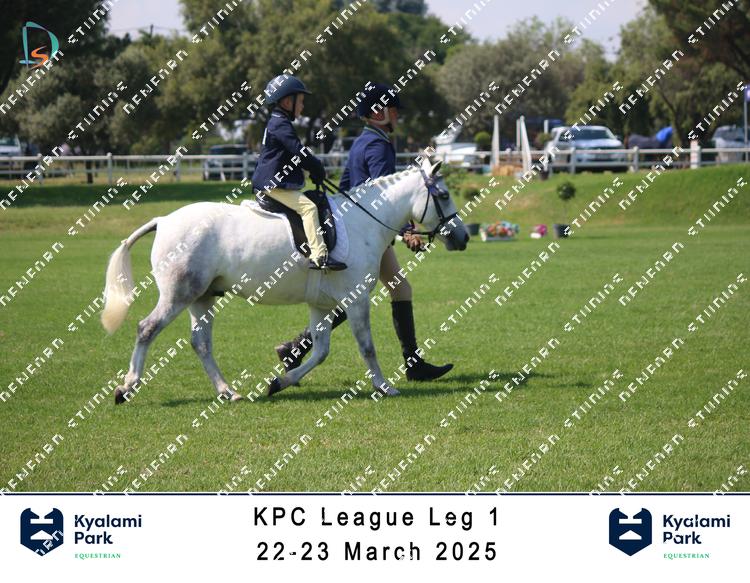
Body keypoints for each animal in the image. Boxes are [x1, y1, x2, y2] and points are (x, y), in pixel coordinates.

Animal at [100, 157, 469, 404]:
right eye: (444, 195)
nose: (463, 237)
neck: (363, 222)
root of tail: (164, 219)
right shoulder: (356, 300)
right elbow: (367, 346)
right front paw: (384, 386)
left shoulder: (321, 305)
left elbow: (320, 350)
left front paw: (280, 382)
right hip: (178, 294)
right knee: (147, 329)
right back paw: (126, 388)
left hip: (202, 297)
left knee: (200, 343)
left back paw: (228, 392)